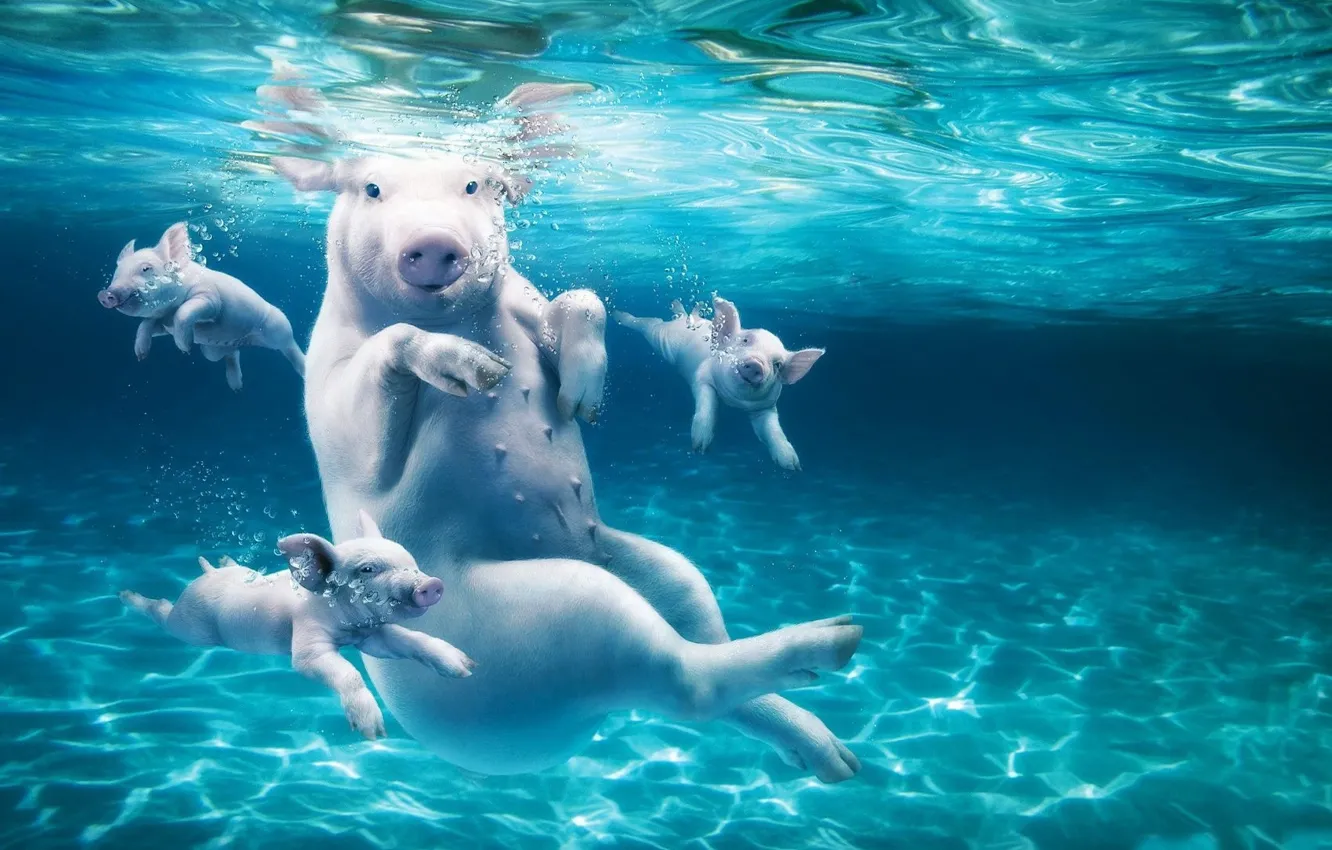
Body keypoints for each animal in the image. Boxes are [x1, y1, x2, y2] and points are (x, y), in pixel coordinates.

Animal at [97, 222, 306, 390]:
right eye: (116, 273)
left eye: (146, 268)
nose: (105, 294)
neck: (168, 311)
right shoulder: (163, 323)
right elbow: (145, 324)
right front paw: (141, 356)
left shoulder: (210, 298)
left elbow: (185, 311)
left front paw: (185, 349)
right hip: (211, 352)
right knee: (232, 353)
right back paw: (237, 388)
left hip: (280, 329)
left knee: (290, 348)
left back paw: (304, 371)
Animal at [119, 510, 472, 739]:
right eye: (368, 569)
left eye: (411, 561)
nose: (432, 584)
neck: (348, 625)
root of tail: (204, 577)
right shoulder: (307, 641)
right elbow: (344, 671)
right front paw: (373, 733)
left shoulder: (372, 636)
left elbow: (410, 640)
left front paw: (466, 668)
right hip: (190, 625)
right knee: (162, 611)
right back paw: (127, 595)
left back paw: (223, 560)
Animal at [614, 298, 824, 470]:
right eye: (745, 340)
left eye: (777, 364)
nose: (756, 364)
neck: (734, 402)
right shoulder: (703, 377)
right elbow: (707, 405)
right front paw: (699, 448)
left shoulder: (766, 407)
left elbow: (772, 430)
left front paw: (793, 466)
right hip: (660, 338)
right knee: (649, 322)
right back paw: (619, 314)